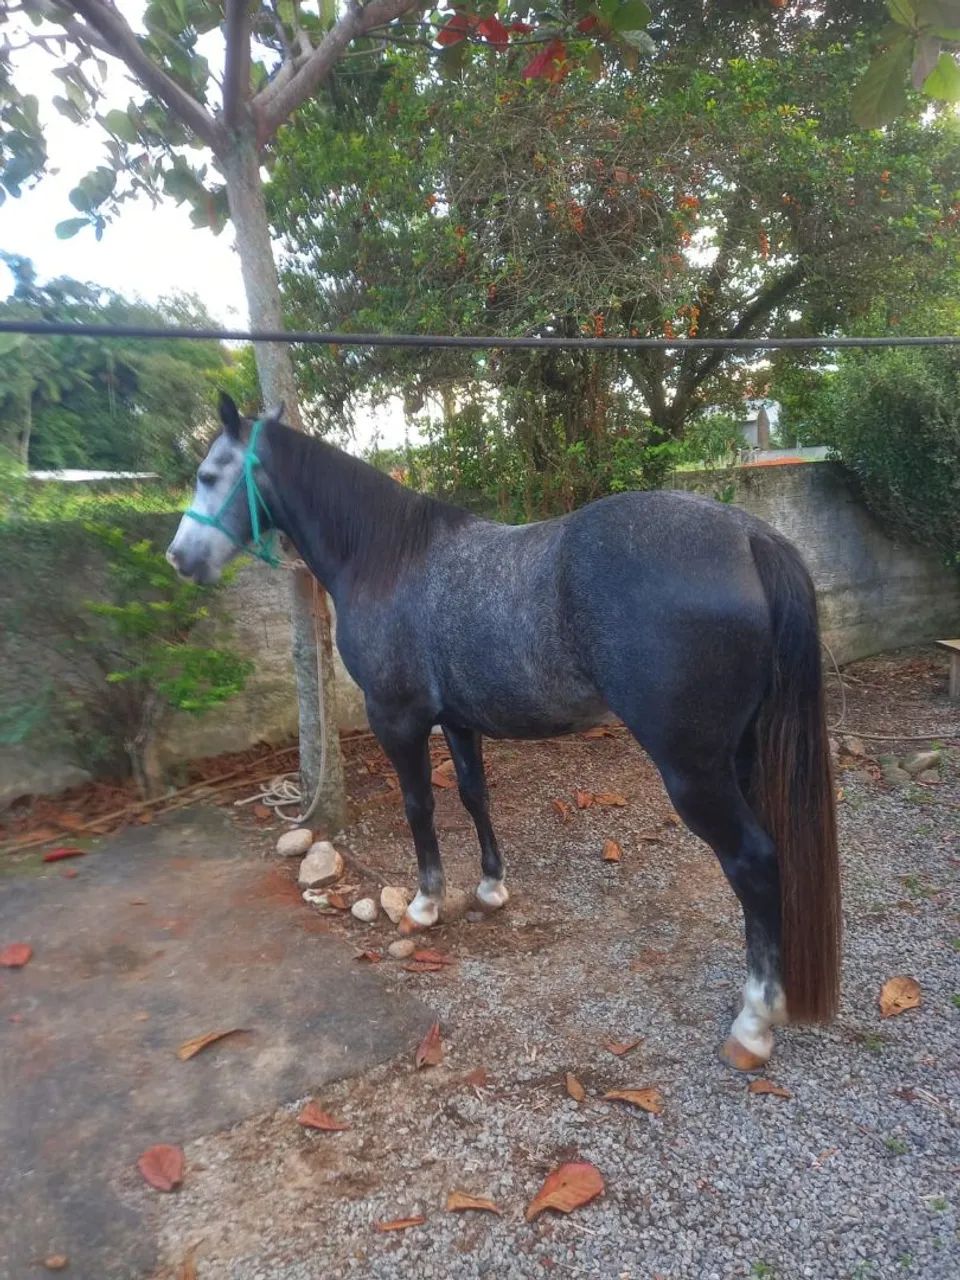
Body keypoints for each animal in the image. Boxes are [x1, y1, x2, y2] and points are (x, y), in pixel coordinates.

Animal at [166, 392, 841, 1070]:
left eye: (209, 474)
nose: (179, 558)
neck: (388, 558)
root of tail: (749, 536)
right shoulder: (458, 720)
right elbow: (473, 796)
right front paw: (491, 887)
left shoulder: (397, 719)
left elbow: (419, 807)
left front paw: (425, 905)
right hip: (740, 755)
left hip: (692, 769)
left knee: (753, 861)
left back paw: (753, 1024)